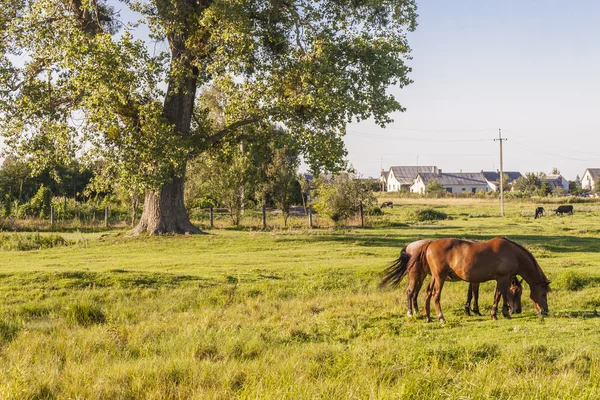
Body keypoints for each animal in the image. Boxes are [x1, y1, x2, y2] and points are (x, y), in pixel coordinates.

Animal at [382, 239, 524, 318]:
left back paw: (418, 311)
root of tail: (409, 246)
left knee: (416, 292)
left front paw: (469, 310)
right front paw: (475, 311)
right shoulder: (476, 280)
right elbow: (475, 294)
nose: (517, 310)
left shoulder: (472, 279)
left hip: (422, 275)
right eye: (516, 291)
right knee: (410, 292)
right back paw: (410, 312)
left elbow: (470, 294)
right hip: (415, 273)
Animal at [406, 236, 552, 324]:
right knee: (435, 295)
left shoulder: (504, 279)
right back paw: (441, 318)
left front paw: (504, 313)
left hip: (435, 277)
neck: (513, 253)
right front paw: (496, 314)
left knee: (428, 293)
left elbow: (502, 295)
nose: (545, 311)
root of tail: (430, 244)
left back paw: (427, 317)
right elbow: (499, 295)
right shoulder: (502, 278)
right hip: (440, 278)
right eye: (543, 293)